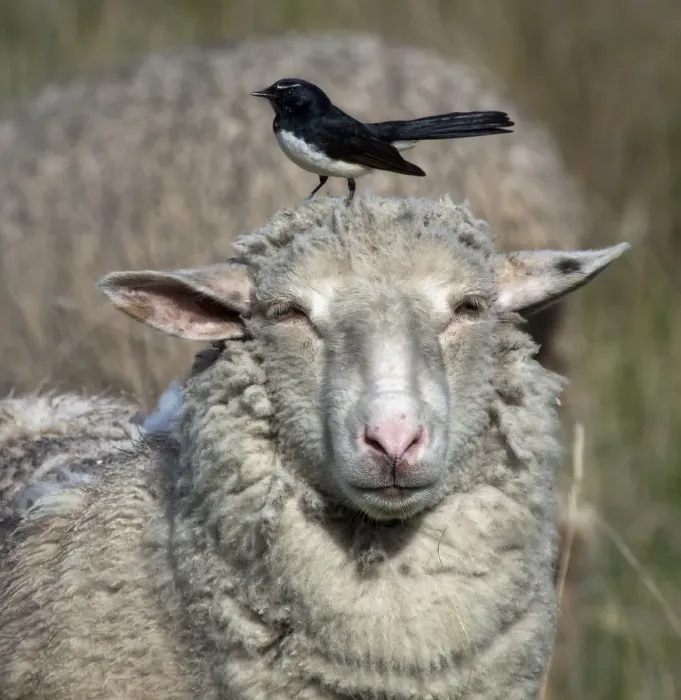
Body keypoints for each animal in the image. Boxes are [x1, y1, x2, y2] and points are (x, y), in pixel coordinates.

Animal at [0, 32, 587, 403]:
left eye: (287, 90)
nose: (262, 90)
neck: (296, 120)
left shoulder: (339, 154)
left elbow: (342, 185)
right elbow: (319, 186)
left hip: (378, 155)